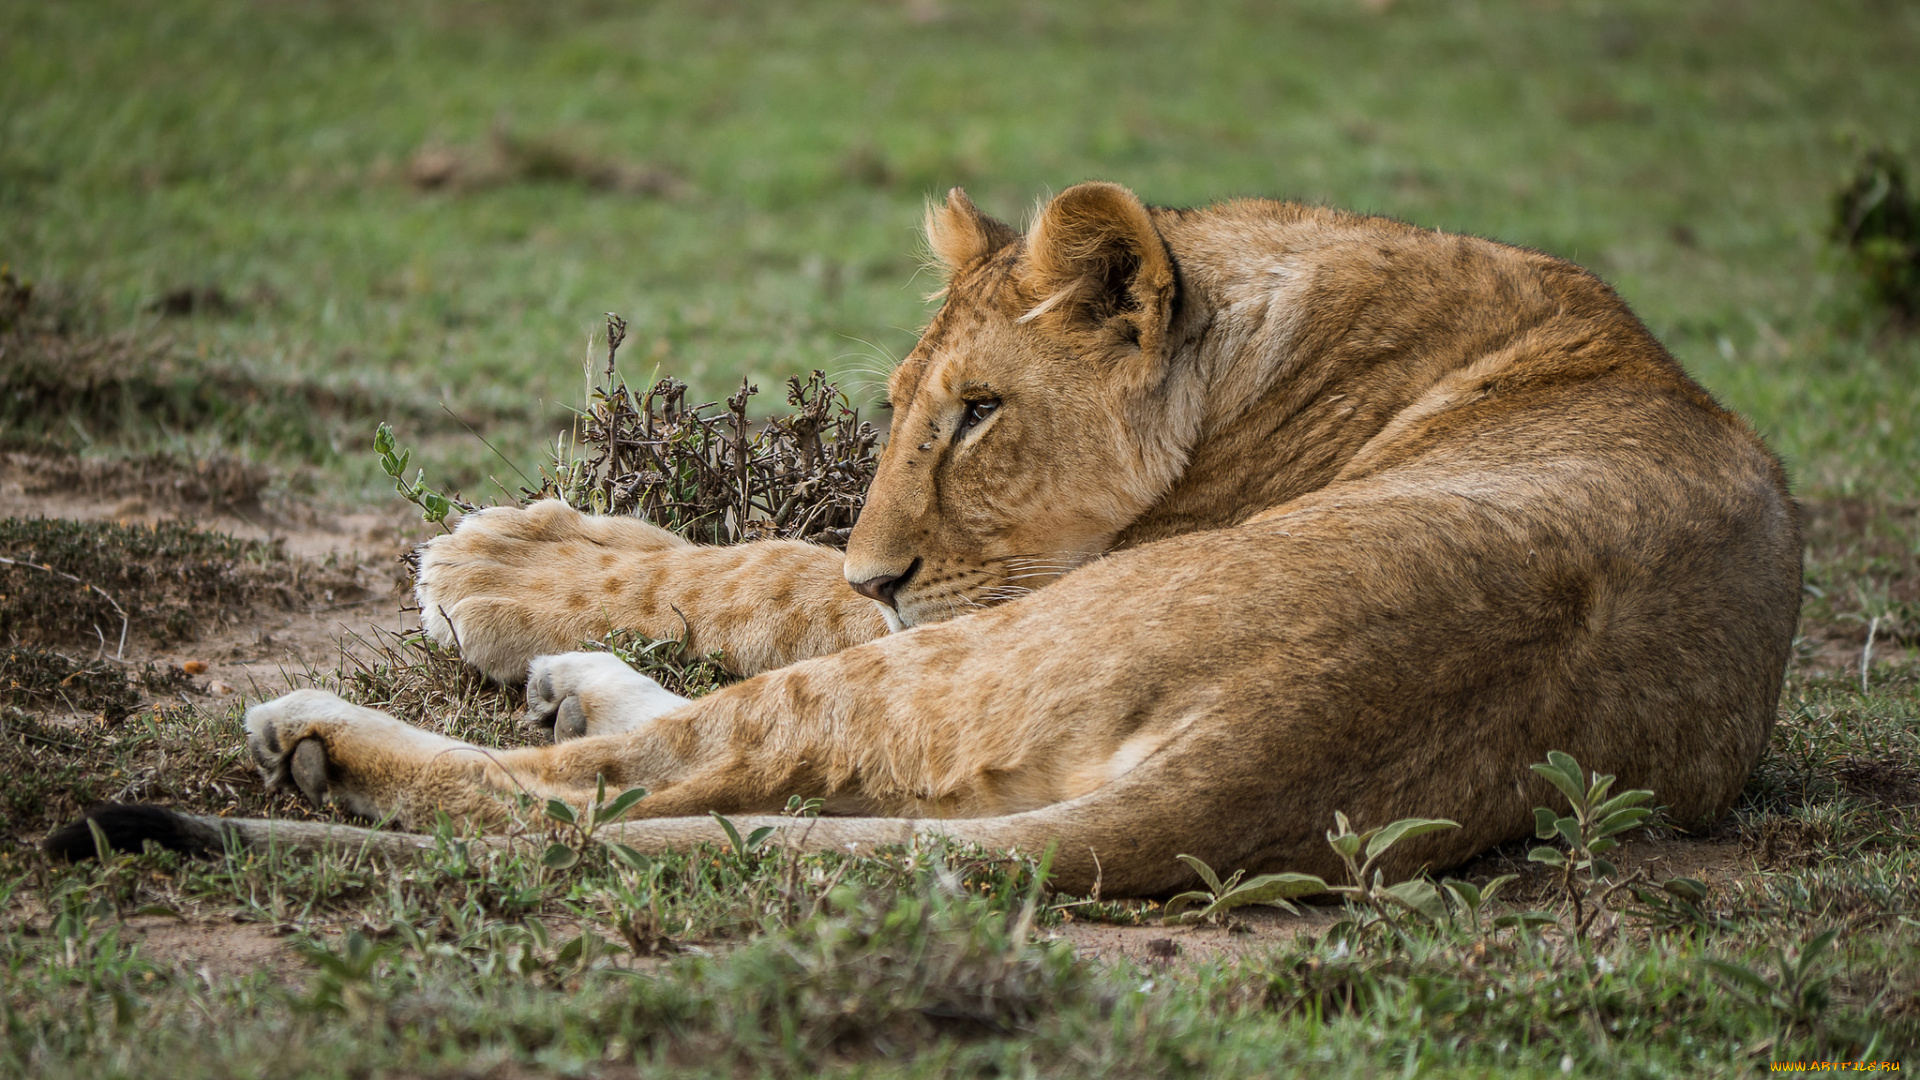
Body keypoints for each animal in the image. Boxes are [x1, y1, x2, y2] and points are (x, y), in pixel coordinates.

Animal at [52, 182, 1804, 891]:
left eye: (979, 415)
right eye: (902, 409)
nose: (886, 565)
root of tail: (1302, 748)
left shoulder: (979, 588)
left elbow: (773, 569)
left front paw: (493, 567)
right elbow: (794, 567)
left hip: (997, 653)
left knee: (596, 796)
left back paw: (323, 741)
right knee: (718, 776)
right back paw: (571, 683)